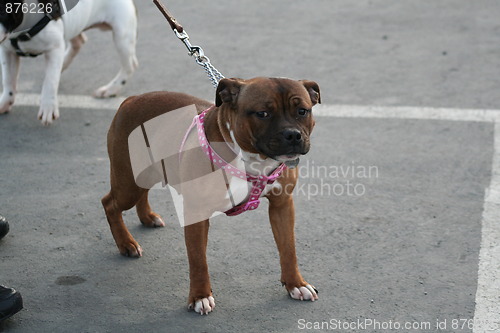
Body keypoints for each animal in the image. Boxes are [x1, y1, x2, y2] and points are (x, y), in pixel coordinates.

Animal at [0, 0, 138, 124]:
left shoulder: (55, 48)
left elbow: (51, 80)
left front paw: (48, 107)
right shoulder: (7, 51)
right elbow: (8, 79)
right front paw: (5, 102)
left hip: (121, 35)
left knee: (129, 65)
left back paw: (111, 88)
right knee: (79, 42)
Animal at [102, 76, 320, 312]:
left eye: (302, 111)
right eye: (262, 113)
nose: (293, 134)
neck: (251, 160)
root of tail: (131, 100)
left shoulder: (282, 205)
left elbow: (288, 249)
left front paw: (296, 284)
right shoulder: (196, 214)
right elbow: (198, 259)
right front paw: (200, 296)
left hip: (145, 174)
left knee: (141, 193)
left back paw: (147, 217)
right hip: (127, 184)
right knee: (110, 203)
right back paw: (126, 243)